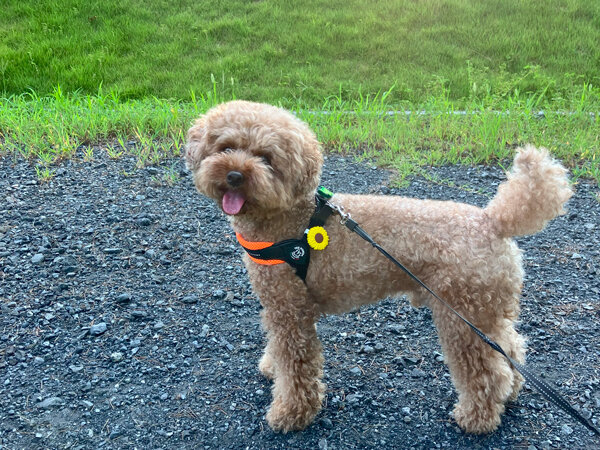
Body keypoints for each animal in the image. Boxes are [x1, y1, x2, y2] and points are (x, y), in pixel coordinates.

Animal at [185, 100, 576, 434]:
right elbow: (277, 351)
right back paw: (512, 392)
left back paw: (476, 418)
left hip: (461, 316)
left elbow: (297, 368)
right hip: (485, 310)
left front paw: (290, 414)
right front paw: (270, 367)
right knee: (512, 349)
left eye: (266, 158)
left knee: (487, 373)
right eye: (225, 147)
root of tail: (493, 221)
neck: (288, 216)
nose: (235, 175)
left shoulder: (291, 310)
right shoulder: (277, 305)